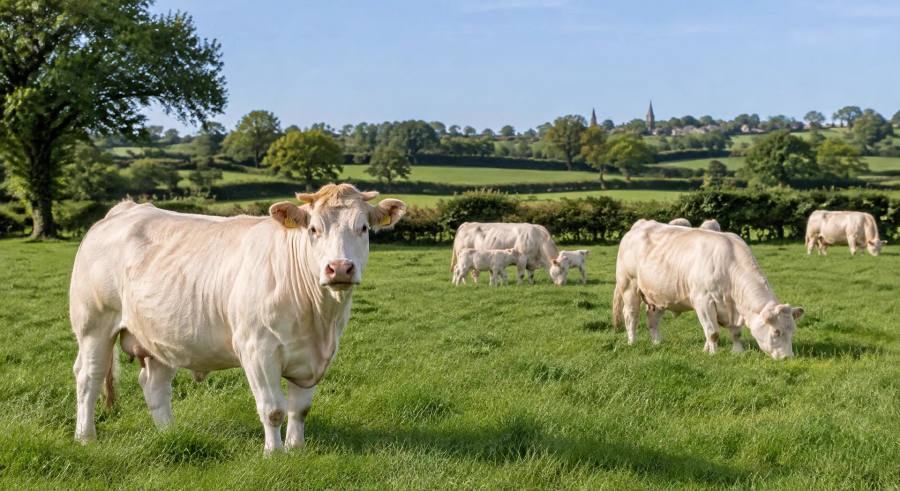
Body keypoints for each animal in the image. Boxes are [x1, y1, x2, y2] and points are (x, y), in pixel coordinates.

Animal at [69, 184, 406, 453]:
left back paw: (169, 433)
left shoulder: (313, 357)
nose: (339, 268)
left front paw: (297, 449)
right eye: (313, 229)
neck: (319, 319)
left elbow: (300, 409)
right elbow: (273, 409)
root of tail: (125, 209)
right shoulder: (257, 349)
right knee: (88, 377)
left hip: (159, 334)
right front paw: (275, 453)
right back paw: (86, 437)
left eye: (364, 228)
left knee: (155, 385)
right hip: (94, 325)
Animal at [612, 220, 804, 360]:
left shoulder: (733, 307)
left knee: (652, 319)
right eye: (776, 332)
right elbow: (712, 332)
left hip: (657, 295)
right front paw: (712, 353)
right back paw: (632, 342)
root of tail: (641, 224)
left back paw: (657, 342)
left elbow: (735, 333)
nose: (788, 358)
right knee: (631, 316)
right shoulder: (703, 301)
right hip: (629, 286)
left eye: (793, 331)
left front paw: (737, 352)